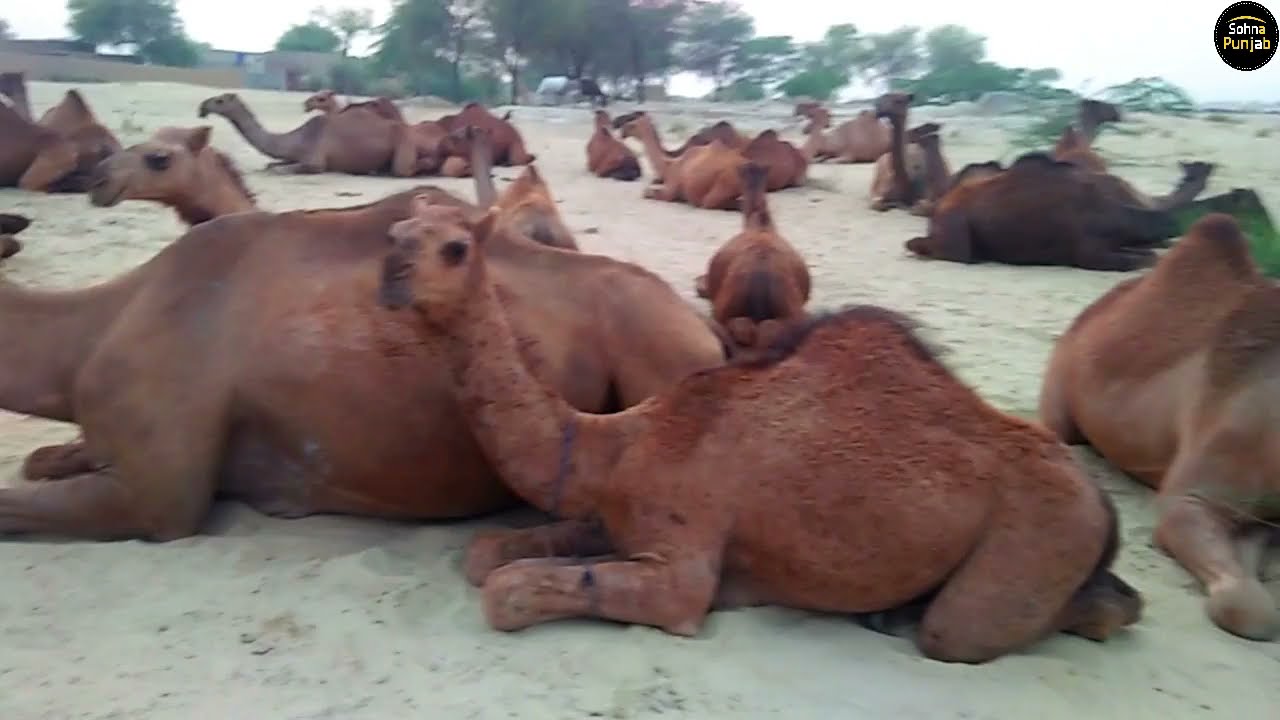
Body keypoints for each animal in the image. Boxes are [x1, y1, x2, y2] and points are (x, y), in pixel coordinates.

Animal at [197, 92, 417, 176]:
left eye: (220, 101)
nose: (202, 106)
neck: (297, 139)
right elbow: (271, 165)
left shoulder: (315, 163)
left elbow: (279, 170)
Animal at [374, 207, 1142, 663]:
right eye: (396, 235)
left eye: (455, 247)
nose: (389, 276)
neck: (617, 447)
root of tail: (1102, 505)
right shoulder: (615, 517)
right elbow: (487, 555)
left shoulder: (680, 569)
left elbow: (506, 591)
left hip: (1033, 544)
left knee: (991, 625)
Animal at [903, 152, 1180, 271]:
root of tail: (940, 206)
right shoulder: (1091, 251)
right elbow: (1131, 261)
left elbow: (1147, 255)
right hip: (954, 231)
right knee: (949, 252)